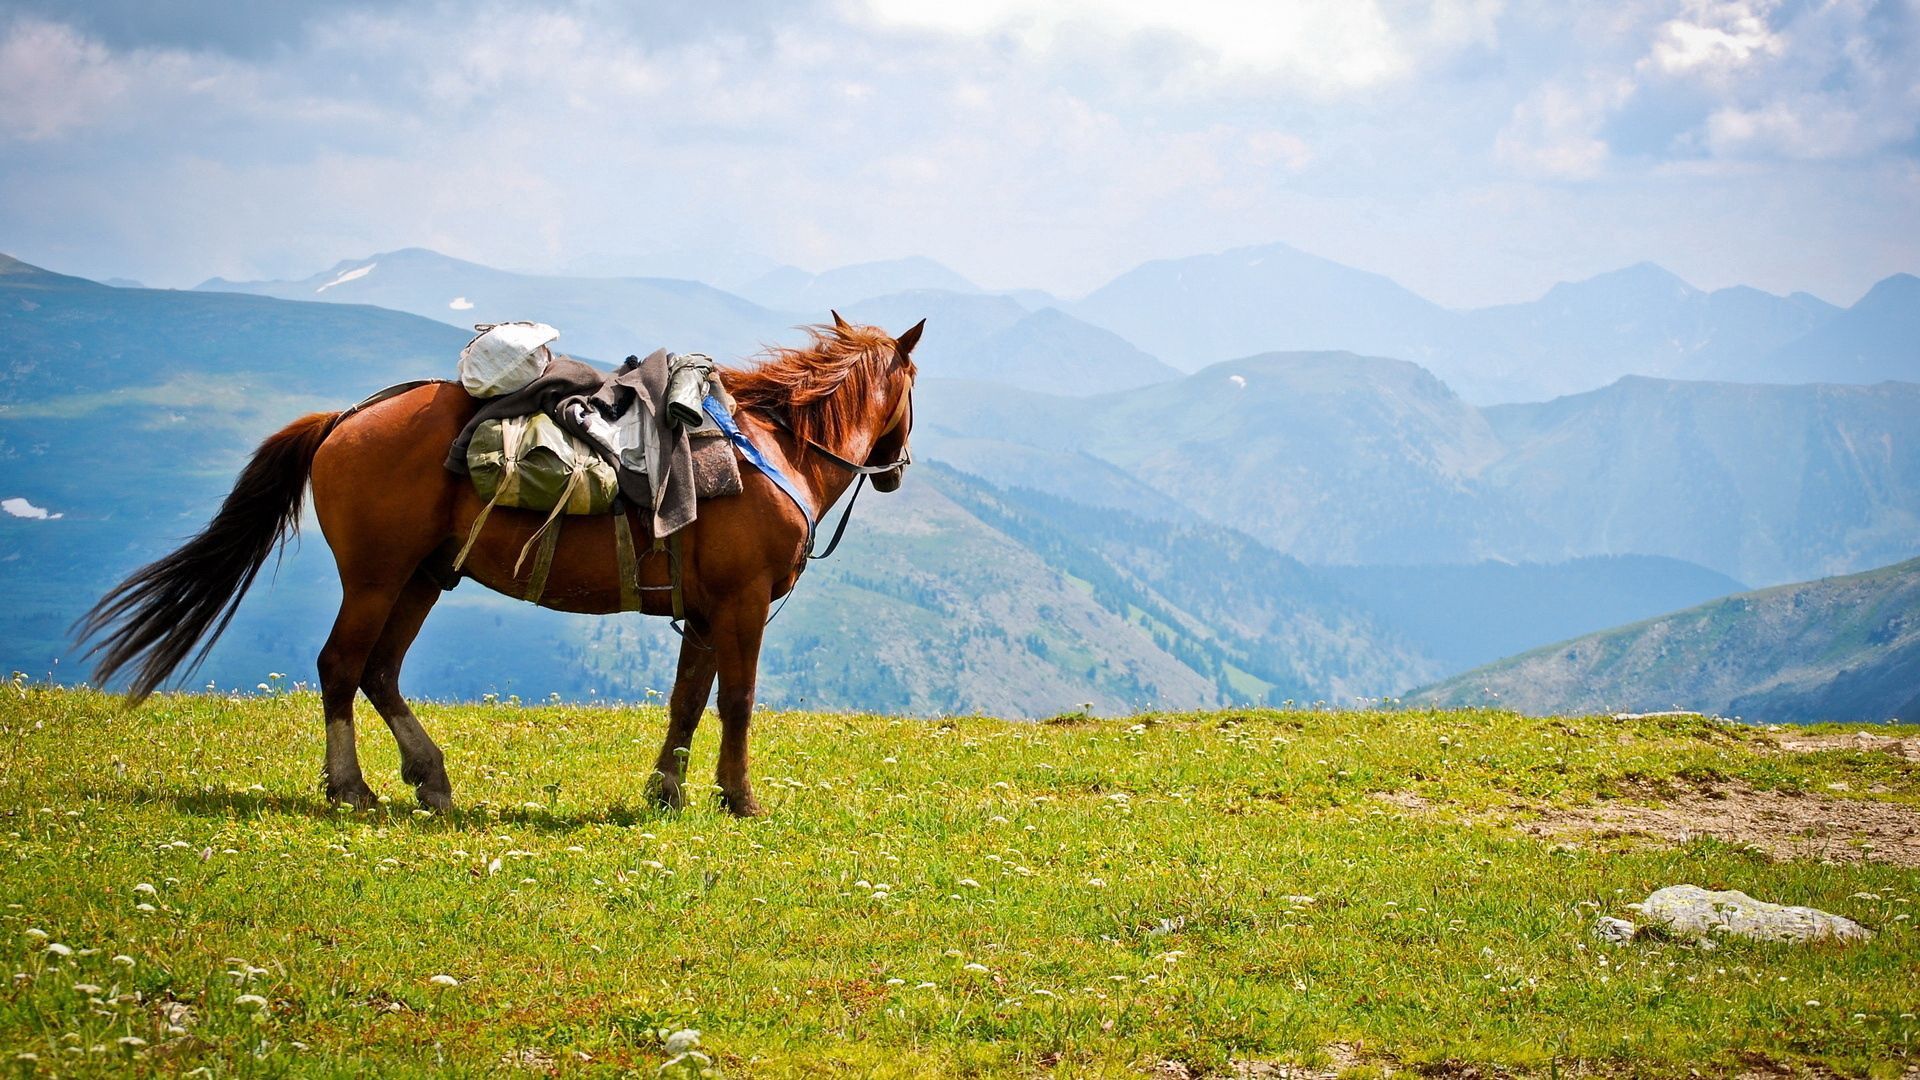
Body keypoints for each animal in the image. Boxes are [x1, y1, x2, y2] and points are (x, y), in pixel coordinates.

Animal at [76, 315, 923, 817]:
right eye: (914, 389)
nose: (895, 471)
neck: (777, 452)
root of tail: (344, 419)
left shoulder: (706, 613)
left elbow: (686, 703)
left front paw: (666, 793)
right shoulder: (742, 605)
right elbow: (737, 703)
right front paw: (739, 800)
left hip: (422, 577)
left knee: (379, 671)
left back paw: (430, 779)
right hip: (376, 577)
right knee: (341, 666)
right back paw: (352, 788)